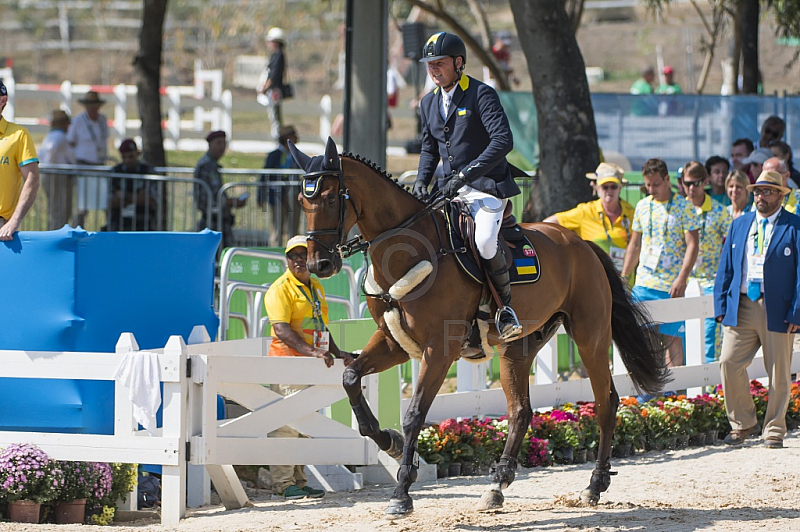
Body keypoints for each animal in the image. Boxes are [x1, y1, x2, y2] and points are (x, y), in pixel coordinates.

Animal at [288, 136, 668, 516]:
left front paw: (402, 492)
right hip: (518, 348)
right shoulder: (394, 342)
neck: (409, 250)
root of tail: (581, 244)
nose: (320, 264)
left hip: (590, 337)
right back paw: (496, 487)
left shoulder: (439, 350)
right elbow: (350, 378)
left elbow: (414, 414)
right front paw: (388, 441)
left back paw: (594, 485)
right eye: (302, 200)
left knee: (605, 403)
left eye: (331, 197)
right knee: (520, 412)